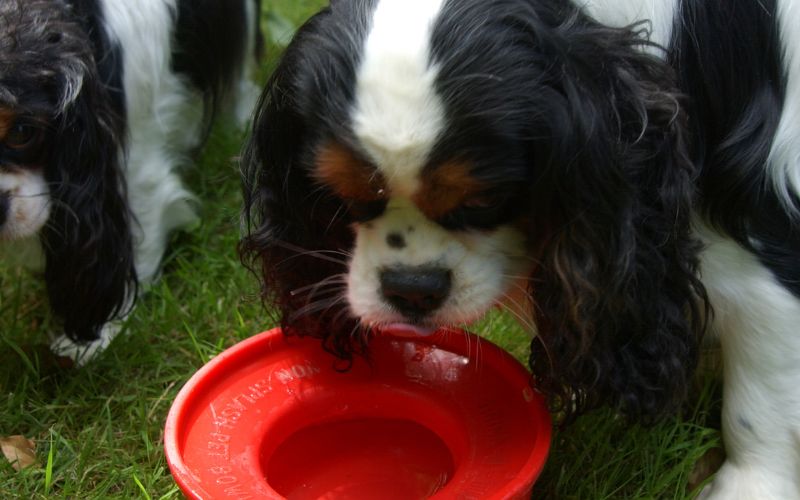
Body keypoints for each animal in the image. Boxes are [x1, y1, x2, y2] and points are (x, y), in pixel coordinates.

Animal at [241, 0, 800, 498]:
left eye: (485, 199)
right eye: (341, 194)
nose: (412, 289)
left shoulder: (768, 249)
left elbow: (760, 399)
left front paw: (751, 486)